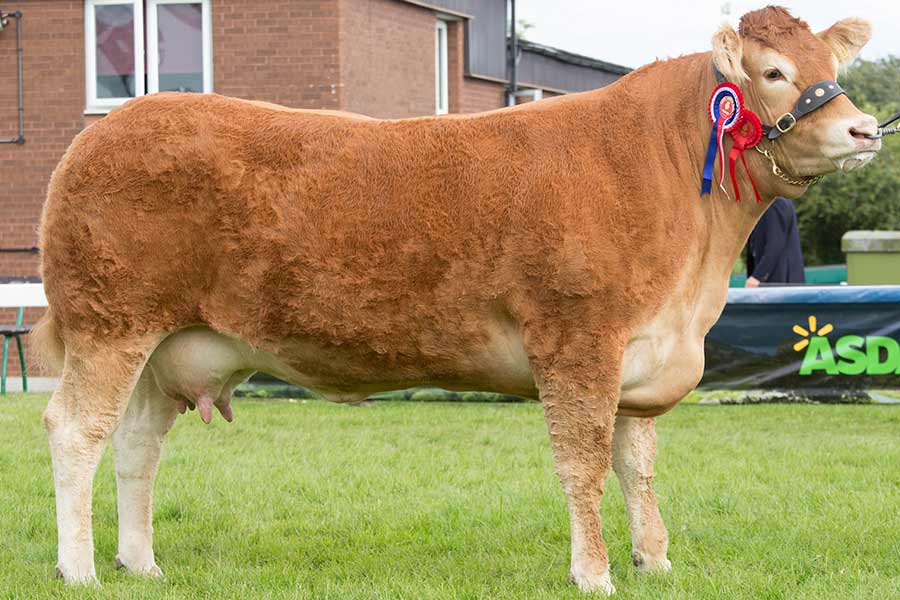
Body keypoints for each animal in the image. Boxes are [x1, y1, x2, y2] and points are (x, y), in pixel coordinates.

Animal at [33, 5, 880, 596]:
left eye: (829, 61)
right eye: (773, 71)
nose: (866, 128)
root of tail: (106, 130)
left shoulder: (643, 352)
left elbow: (635, 466)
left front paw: (656, 560)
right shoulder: (577, 341)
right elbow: (582, 463)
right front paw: (594, 573)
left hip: (167, 344)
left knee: (136, 445)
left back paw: (141, 563)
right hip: (110, 325)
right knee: (75, 432)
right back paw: (80, 569)